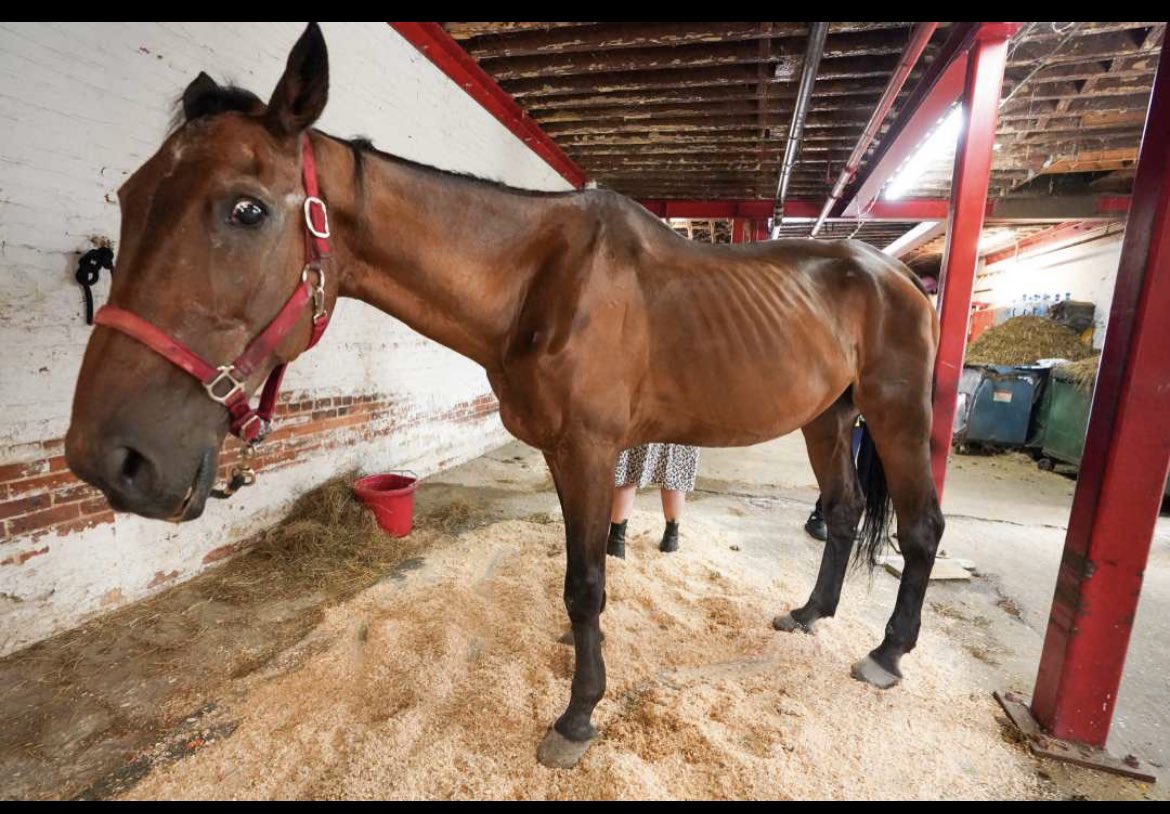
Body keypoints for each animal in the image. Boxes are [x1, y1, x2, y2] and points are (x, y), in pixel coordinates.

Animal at [65, 23, 943, 769]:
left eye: (246, 208)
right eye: (129, 197)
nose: (111, 459)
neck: (542, 281)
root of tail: (898, 274)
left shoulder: (590, 448)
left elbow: (586, 582)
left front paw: (578, 717)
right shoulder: (560, 452)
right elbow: (579, 579)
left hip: (895, 414)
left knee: (922, 528)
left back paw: (887, 654)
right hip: (828, 417)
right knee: (843, 512)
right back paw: (810, 614)